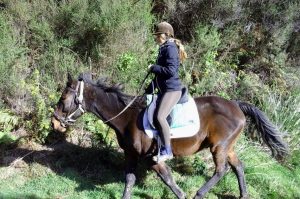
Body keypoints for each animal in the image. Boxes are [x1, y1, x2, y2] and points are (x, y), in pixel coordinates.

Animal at [51, 73, 288, 199]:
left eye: (63, 99)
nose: (54, 122)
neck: (128, 116)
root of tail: (236, 105)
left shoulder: (152, 158)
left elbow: (168, 179)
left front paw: (182, 195)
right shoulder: (131, 155)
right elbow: (129, 179)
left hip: (218, 147)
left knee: (221, 170)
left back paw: (200, 193)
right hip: (227, 147)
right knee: (238, 166)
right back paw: (243, 194)